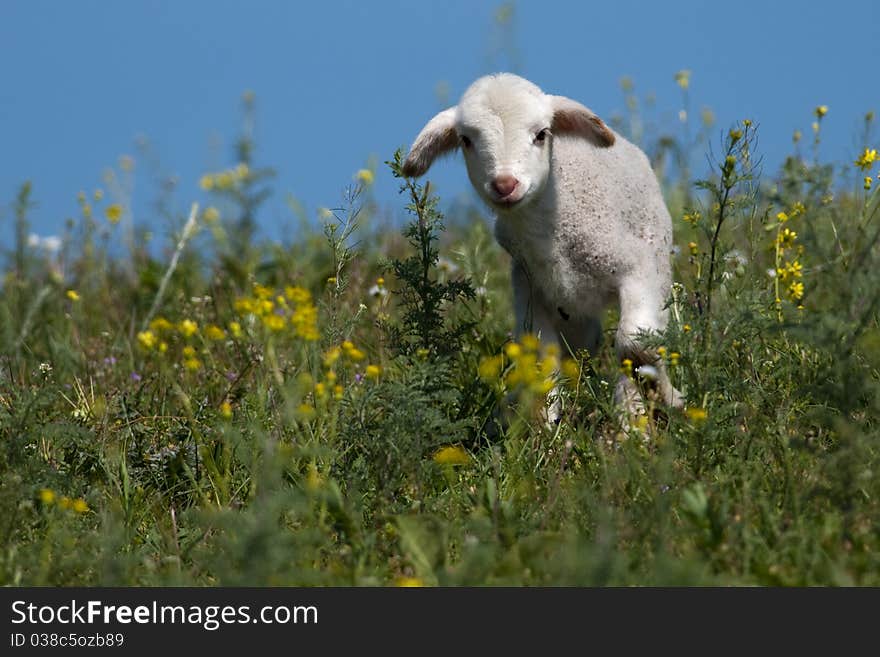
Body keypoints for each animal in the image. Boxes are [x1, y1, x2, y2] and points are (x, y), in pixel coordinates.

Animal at [402, 72, 684, 416]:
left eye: (541, 134)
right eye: (466, 140)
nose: (505, 185)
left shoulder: (637, 267)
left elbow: (636, 345)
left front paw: (664, 397)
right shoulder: (532, 293)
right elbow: (540, 365)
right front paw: (544, 426)